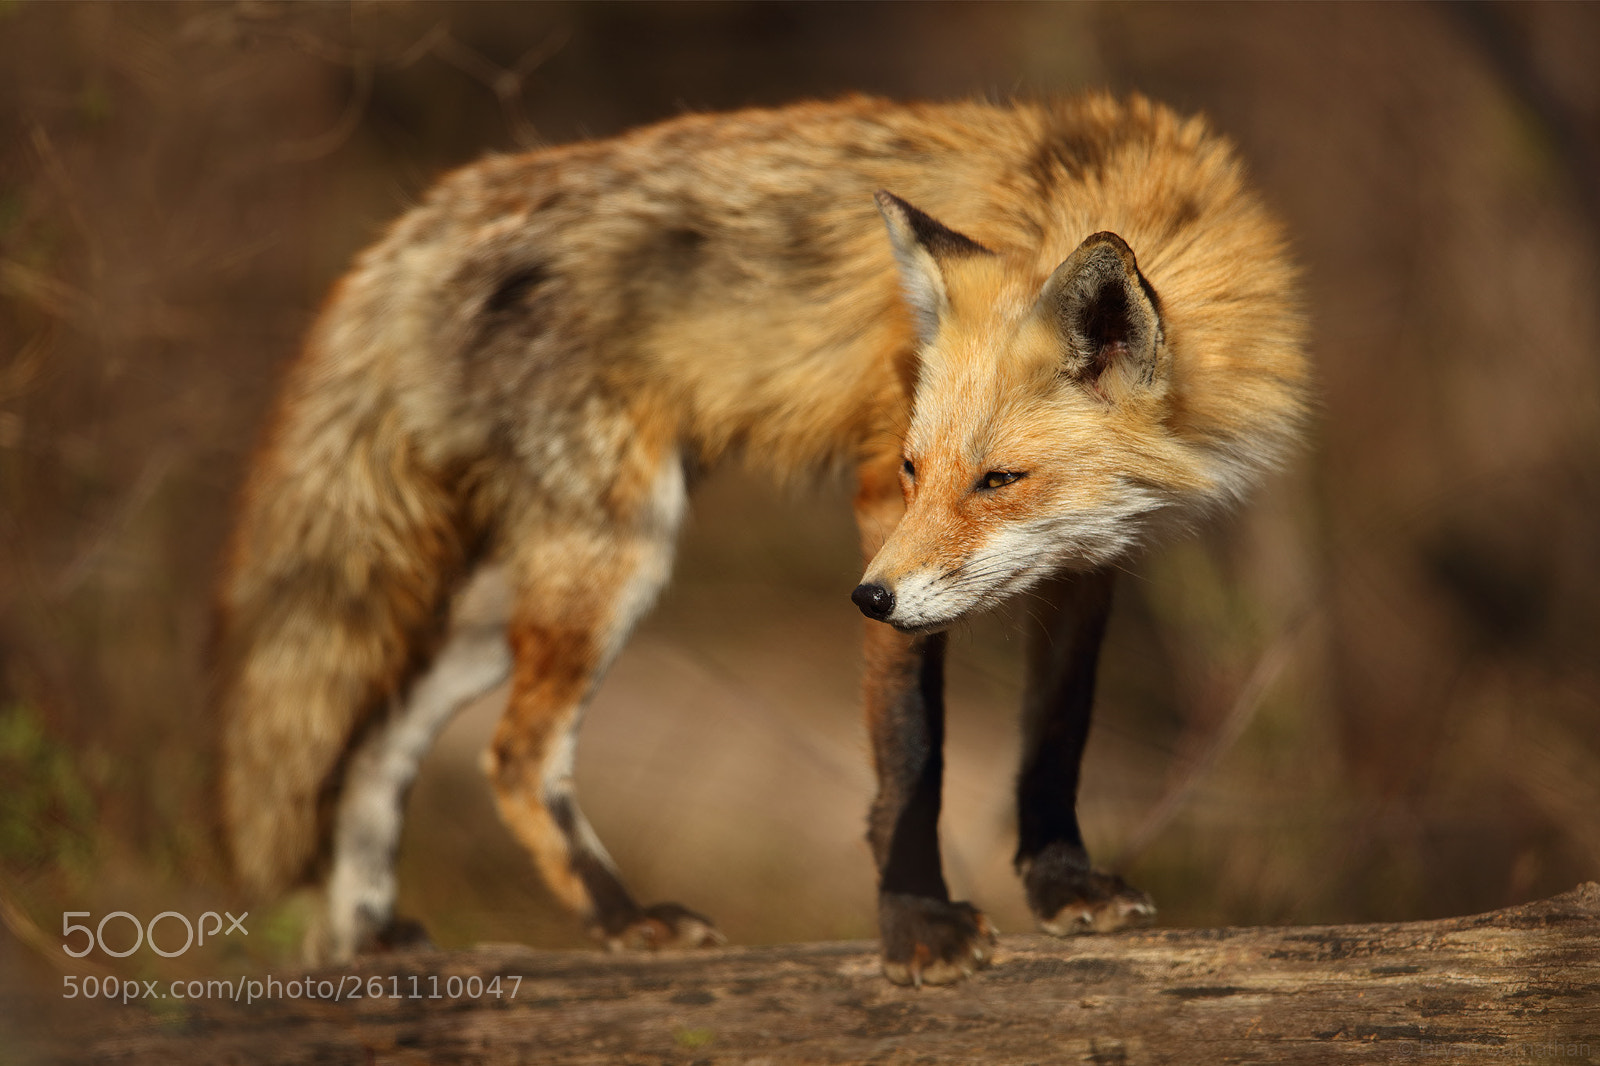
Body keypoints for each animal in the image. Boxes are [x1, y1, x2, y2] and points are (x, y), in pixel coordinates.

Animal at [215, 93, 1307, 987]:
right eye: (914, 469)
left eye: (998, 481)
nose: (865, 600)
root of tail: (434, 210)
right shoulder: (876, 516)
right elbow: (911, 757)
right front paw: (917, 926)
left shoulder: (1086, 562)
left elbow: (1055, 737)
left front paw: (1062, 884)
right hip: (613, 558)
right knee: (514, 756)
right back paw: (621, 921)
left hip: (514, 601)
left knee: (378, 741)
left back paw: (370, 932)